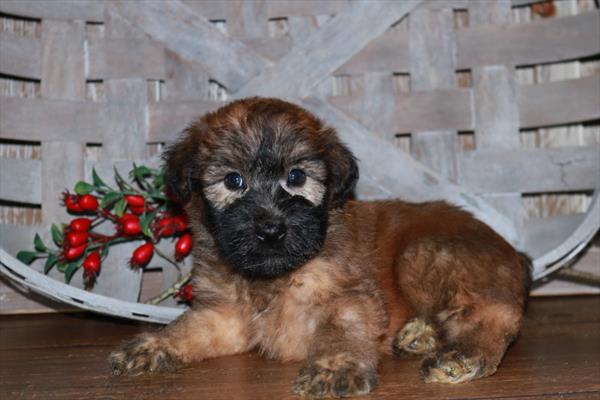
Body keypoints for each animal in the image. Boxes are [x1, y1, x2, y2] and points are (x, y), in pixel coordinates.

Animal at [111, 97, 528, 396]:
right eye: (233, 181)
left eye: (296, 177)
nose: (271, 229)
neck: (272, 277)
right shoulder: (224, 314)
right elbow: (189, 329)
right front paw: (152, 346)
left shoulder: (346, 297)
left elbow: (340, 332)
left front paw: (335, 367)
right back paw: (419, 333)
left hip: (424, 255)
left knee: (494, 312)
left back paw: (462, 354)